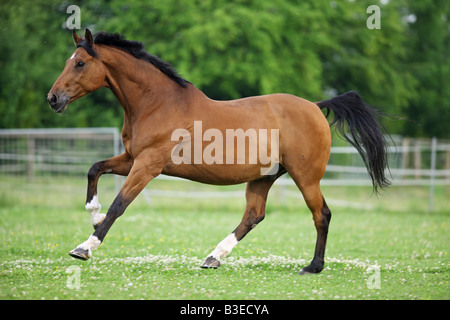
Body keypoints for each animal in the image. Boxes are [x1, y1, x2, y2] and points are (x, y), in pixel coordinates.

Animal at [48, 30, 390, 274]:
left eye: (80, 63)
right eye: (67, 61)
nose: (53, 99)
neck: (158, 103)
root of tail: (316, 107)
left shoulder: (148, 165)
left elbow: (120, 204)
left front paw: (85, 246)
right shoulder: (131, 158)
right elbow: (94, 168)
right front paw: (94, 214)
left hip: (306, 177)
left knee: (322, 214)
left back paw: (313, 267)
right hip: (264, 177)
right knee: (253, 216)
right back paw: (213, 257)